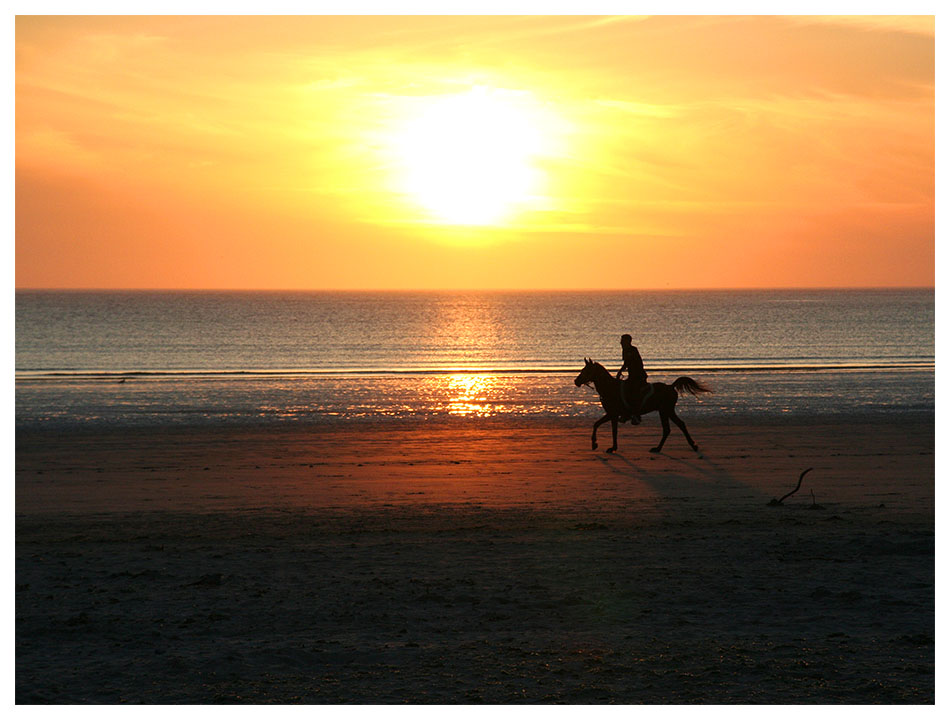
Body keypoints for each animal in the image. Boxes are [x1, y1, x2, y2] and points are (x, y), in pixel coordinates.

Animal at [572, 360, 712, 456]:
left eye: (586, 370)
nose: (576, 381)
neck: (610, 388)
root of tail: (671, 386)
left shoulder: (613, 414)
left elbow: (610, 429)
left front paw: (605, 446)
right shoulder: (612, 414)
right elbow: (599, 425)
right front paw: (599, 444)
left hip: (665, 410)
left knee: (669, 428)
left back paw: (660, 448)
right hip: (667, 411)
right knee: (678, 426)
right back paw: (688, 446)